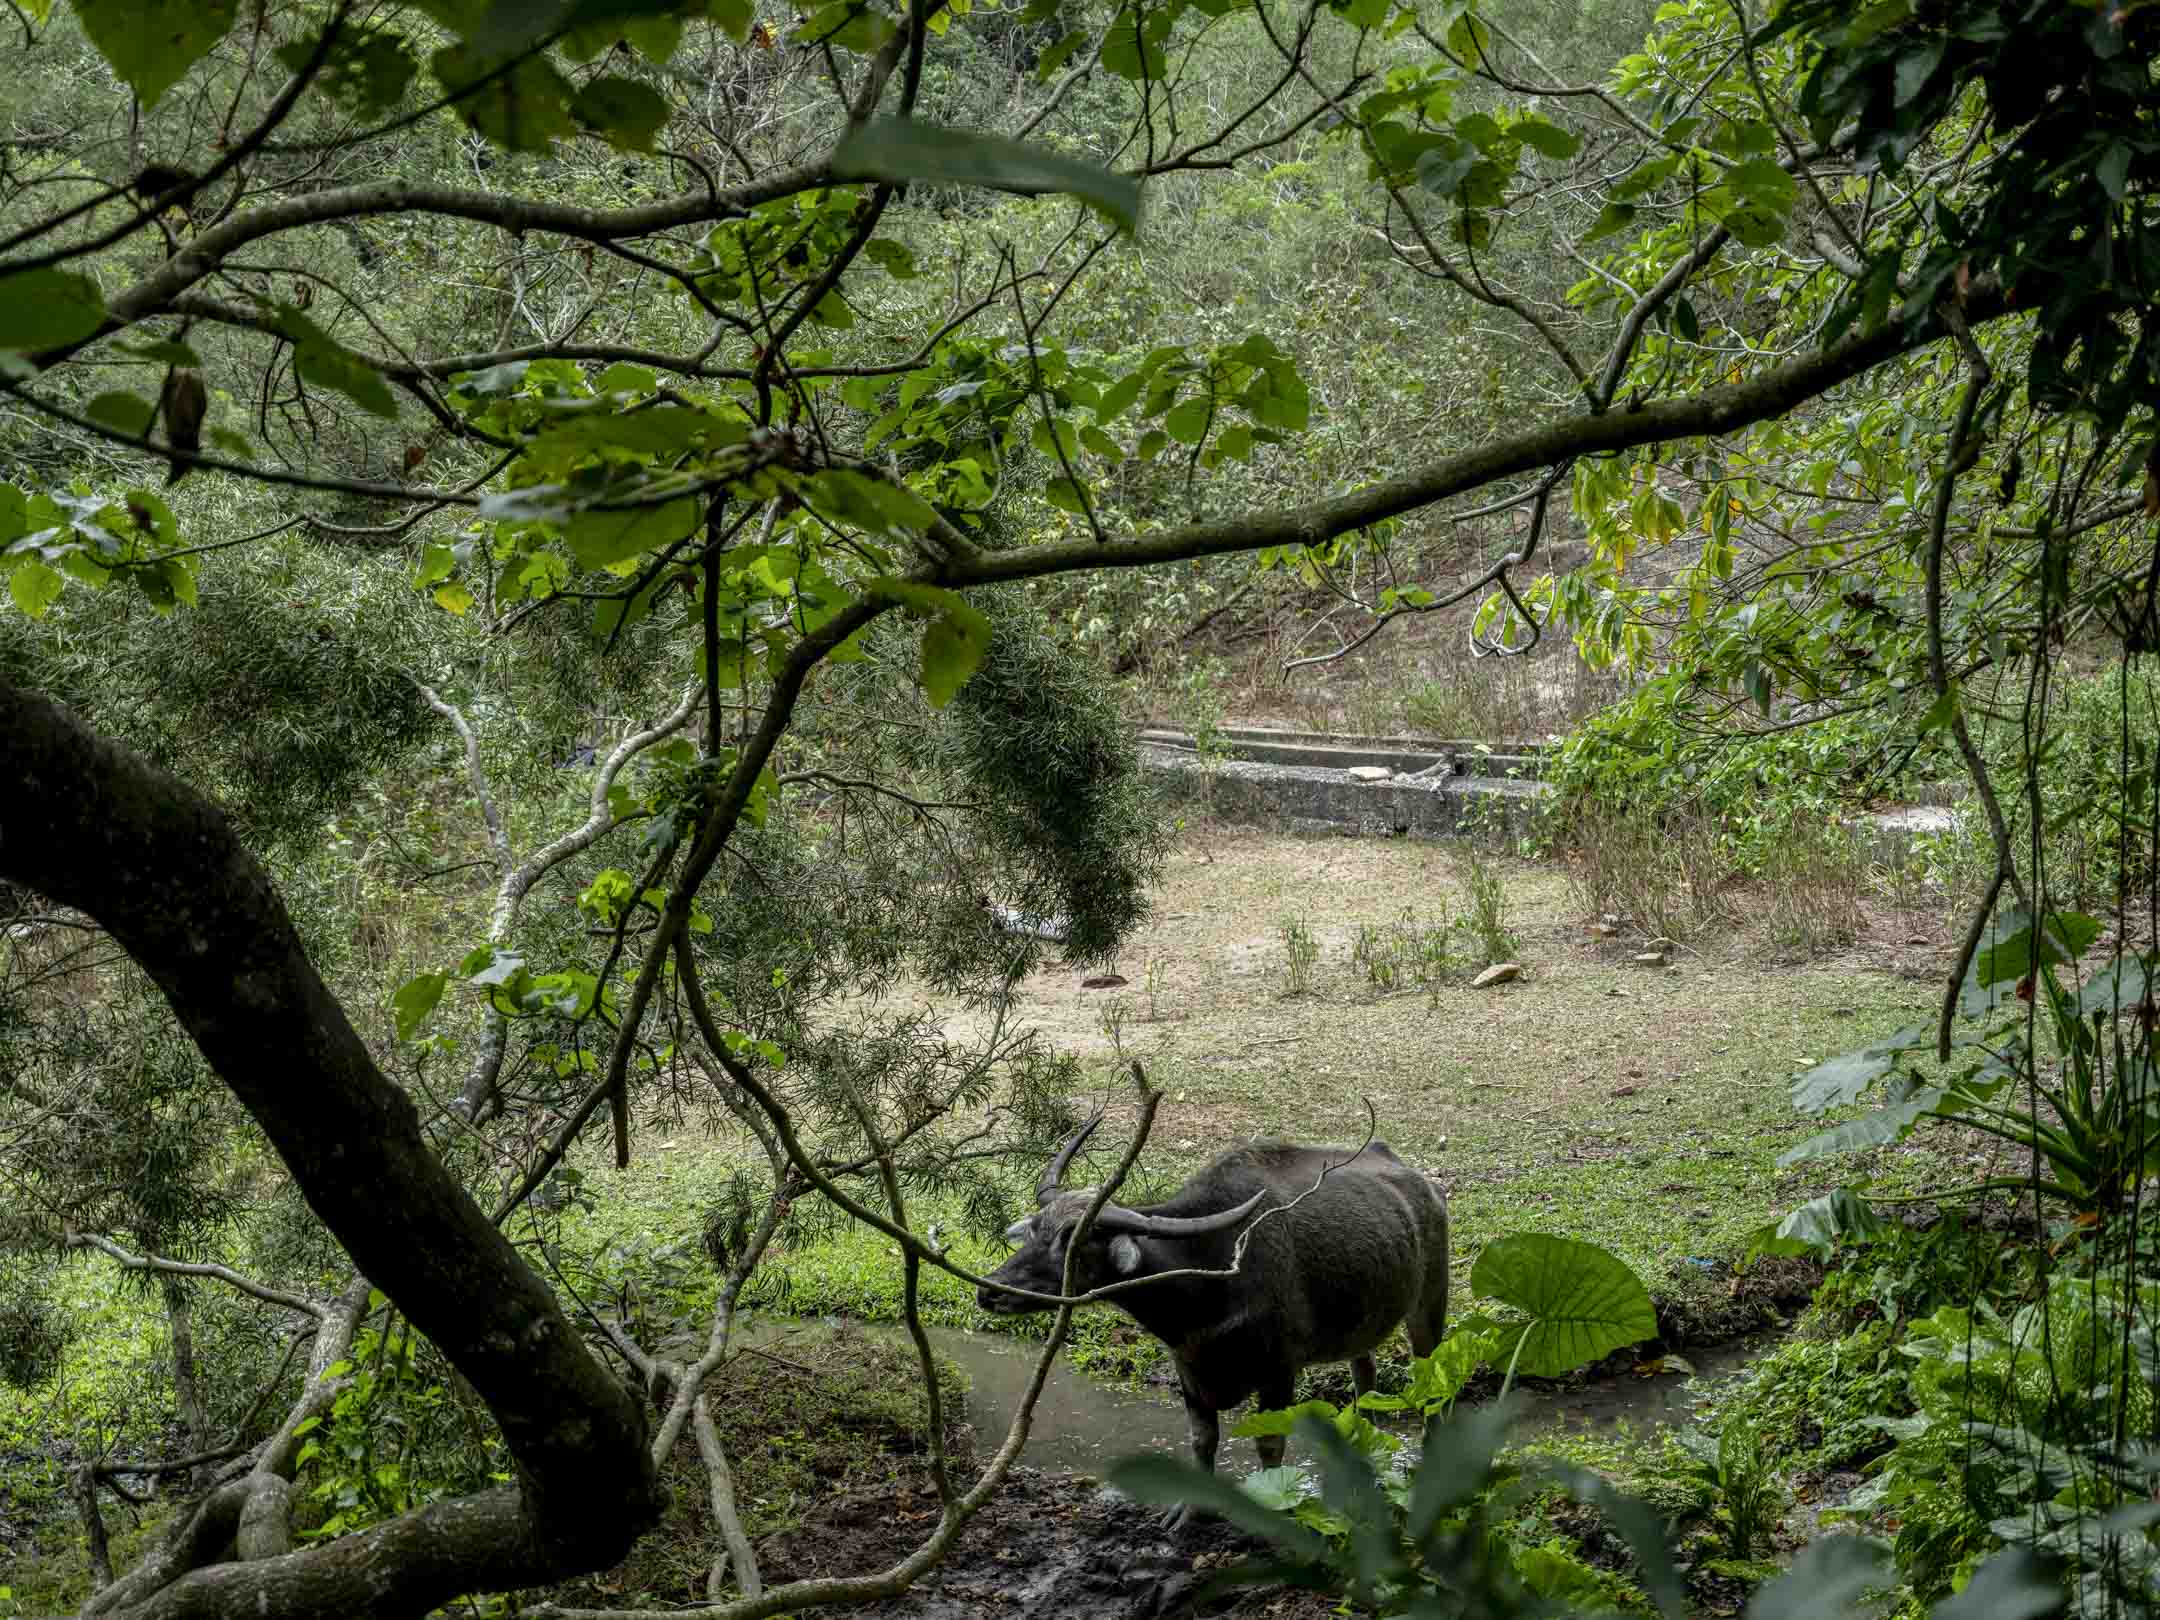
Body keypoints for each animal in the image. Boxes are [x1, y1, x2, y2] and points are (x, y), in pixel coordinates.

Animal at [984, 1114, 1451, 1520]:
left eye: (1074, 1243)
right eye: (1036, 1231)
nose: (988, 1290)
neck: (1208, 1278)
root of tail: (1424, 1185)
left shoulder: (1279, 1372)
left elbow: (1269, 1444)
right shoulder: (1188, 1368)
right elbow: (1203, 1440)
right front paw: (1189, 1510)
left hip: (1430, 1307)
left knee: (1433, 1383)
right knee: (1365, 1377)